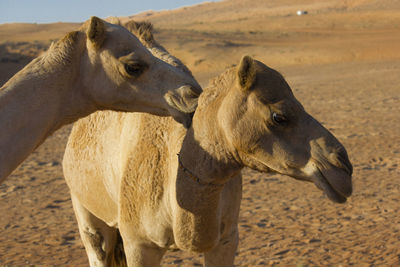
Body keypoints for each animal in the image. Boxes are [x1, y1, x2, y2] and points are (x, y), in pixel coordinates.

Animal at [61, 54, 352, 266]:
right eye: (279, 116)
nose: (343, 168)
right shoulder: (139, 244)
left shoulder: (226, 239)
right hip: (82, 204)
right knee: (97, 245)